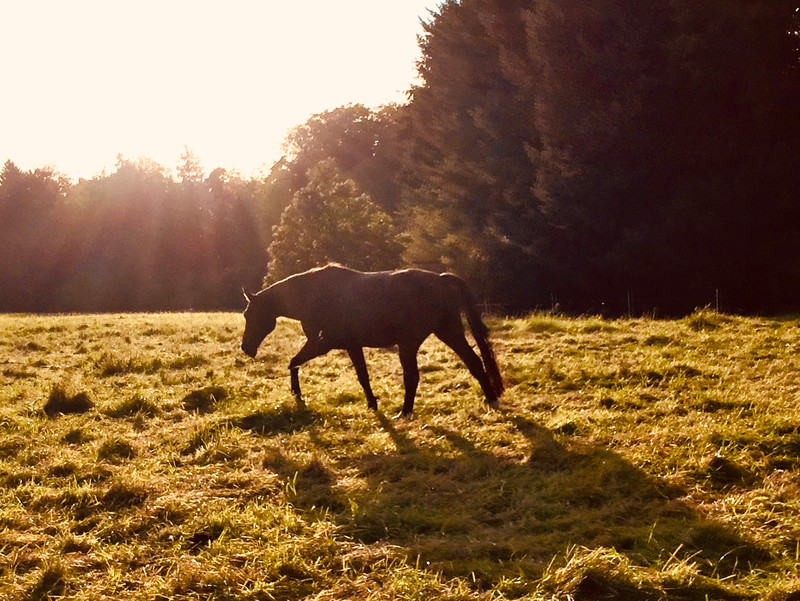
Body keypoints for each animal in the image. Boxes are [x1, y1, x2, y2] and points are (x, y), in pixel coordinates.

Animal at [241, 264, 504, 414]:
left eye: (249, 314)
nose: (246, 348)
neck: (313, 295)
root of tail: (441, 279)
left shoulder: (323, 343)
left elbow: (294, 362)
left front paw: (297, 394)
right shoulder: (350, 345)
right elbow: (362, 376)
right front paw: (372, 405)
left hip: (410, 343)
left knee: (412, 377)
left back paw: (405, 412)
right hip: (449, 332)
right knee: (474, 362)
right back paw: (491, 399)